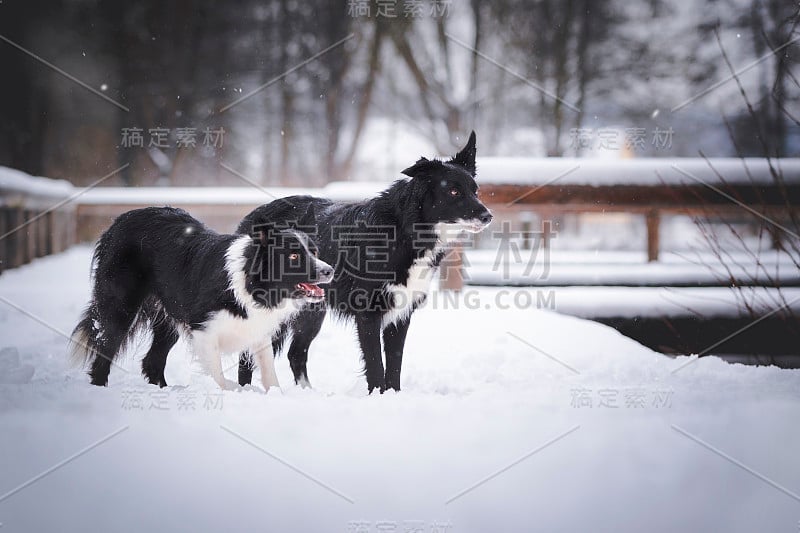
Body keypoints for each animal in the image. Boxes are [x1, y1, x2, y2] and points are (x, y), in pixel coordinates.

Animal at [69, 206, 332, 388]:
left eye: (314, 252)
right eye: (294, 257)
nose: (329, 271)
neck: (251, 283)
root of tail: (117, 222)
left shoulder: (258, 332)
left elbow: (269, 376)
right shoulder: (204, 331)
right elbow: (218, 379)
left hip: (170, 314)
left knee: (152, 360)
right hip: (121, 306)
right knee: (105, 348)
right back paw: (99, 388)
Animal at [234, 131, 490, 392]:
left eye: (475, 191)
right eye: (453, 192)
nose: (487, 216)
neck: (404, 231)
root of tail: (253, 215)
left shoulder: (401, 313)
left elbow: (394, 364)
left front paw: (393, 395)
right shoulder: (368, 313)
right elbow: (376, 364)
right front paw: (377, 394)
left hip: (312, 311)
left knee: (295, 353)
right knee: (247, 356)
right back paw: (244, 390)